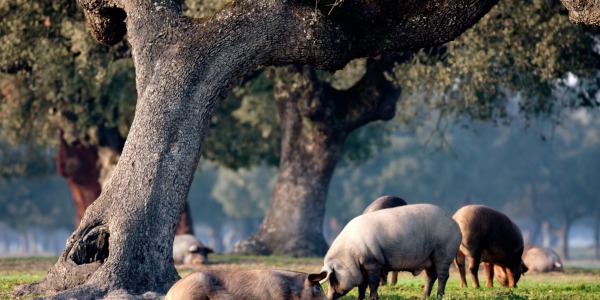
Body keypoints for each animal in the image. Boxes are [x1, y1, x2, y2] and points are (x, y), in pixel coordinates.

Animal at [316, 203, 462, 298]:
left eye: (332, 278)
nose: (329, 297)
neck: (350, 255)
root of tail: (455, 224)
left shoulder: (373, 262)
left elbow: (372, 283)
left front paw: (373, 298)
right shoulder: (362, 267)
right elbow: (362, 286)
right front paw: (359, 299)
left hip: (444, 252)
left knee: (443, 275)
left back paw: (439, 296)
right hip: (429, 257)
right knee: (431, 276)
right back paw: (425, 296)